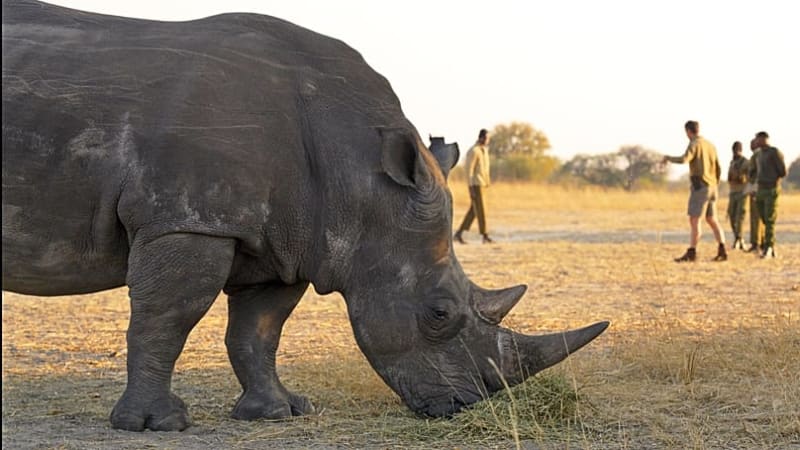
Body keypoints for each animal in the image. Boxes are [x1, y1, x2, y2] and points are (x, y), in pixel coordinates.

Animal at [2, 0, 609, 432]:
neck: (360, 177)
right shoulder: (189, 218)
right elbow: (166, 318)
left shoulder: (285, 239)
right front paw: (156, 425)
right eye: (439, 314)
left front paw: (281, 412)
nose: (464, 406)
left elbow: (259, 330)